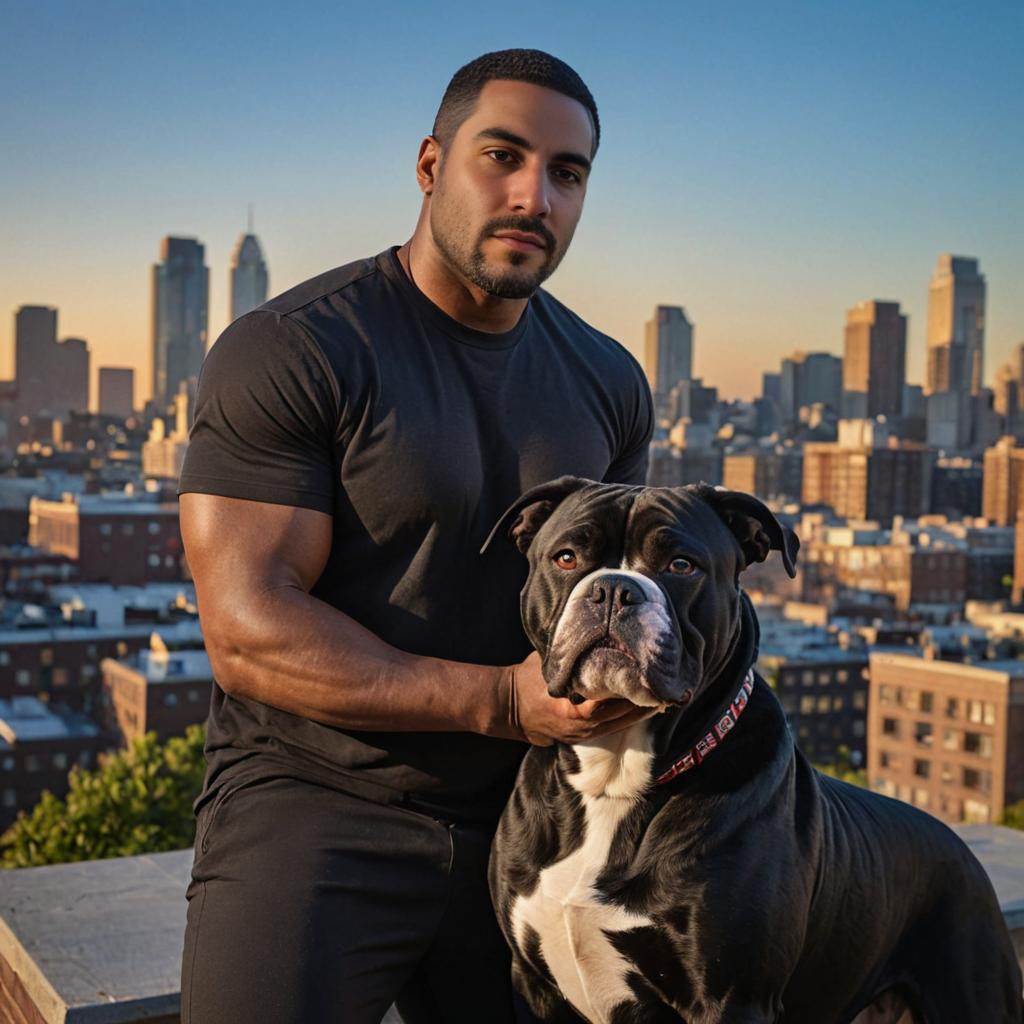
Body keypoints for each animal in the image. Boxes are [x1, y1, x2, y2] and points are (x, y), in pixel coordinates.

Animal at [481, 479, 1024, 1024]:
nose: (614, 589)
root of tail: (962, 851)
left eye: (681, 565)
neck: (613, 778)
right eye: (566, 557)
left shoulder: (730, 996)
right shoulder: (532, 984)